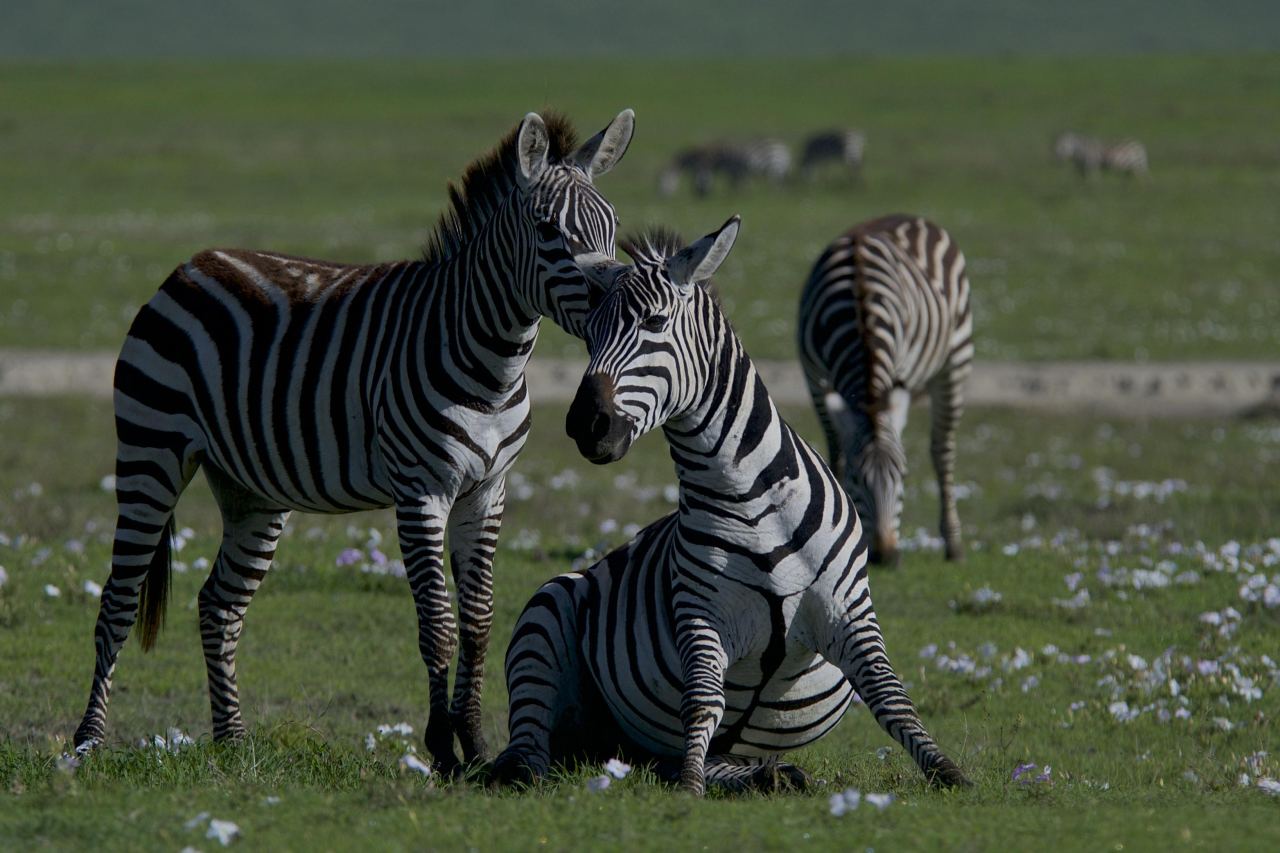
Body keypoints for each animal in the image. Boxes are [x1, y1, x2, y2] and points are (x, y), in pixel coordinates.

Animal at [71, 109, 636, 775]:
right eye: (549, 231)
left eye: (613, 228)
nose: (613, 305)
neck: (493, 364)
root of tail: (191, 265)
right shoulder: (421, 492)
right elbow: (438, 624)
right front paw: (441, 749)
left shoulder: (487, 492)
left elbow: (478, 622)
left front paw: (475, 745)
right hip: (150, 451)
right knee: (118, 601)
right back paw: (87, 742)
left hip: (252, 491)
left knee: (218, 605)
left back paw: (232, 742)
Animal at [657, 138, 792, 197]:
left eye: (663, 182)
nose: (663, 196)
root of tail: (782, 147)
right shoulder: (733, 170)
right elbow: (735, 183)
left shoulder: (705, 165)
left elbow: (703, 179)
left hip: (773, 167)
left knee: (777, 183)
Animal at [797, 215, 973, 566]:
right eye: (854, 478)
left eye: (903, 476)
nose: (886, 556)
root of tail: (909, 216)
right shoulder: (814, 380)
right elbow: (836, 451)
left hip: (955, 361)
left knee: (942, 451)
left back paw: (953, 544)